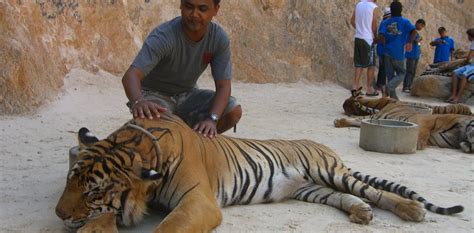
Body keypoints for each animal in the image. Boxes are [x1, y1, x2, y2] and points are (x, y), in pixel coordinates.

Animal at [54, 114, 462, 232]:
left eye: (91, 191)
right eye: (71, 181)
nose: (59, 215)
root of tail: (326, 147)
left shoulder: (198, 201)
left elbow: (167, 228)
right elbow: (105, 218)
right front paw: (93, 227)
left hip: (327, 170)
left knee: (374, 191)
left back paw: (411, 210)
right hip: (311, 188)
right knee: (348, 197)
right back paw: (360, 213)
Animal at [336, 93, 472, 153]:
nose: (472, 137)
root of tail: (396, 102)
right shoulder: (428, 120)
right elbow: (424, 130)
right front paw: (418, 144)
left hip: (376, 118)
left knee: (360, 121)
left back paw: (339, 122)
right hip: (379, 115)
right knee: (361, 119)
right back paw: (339, 121)